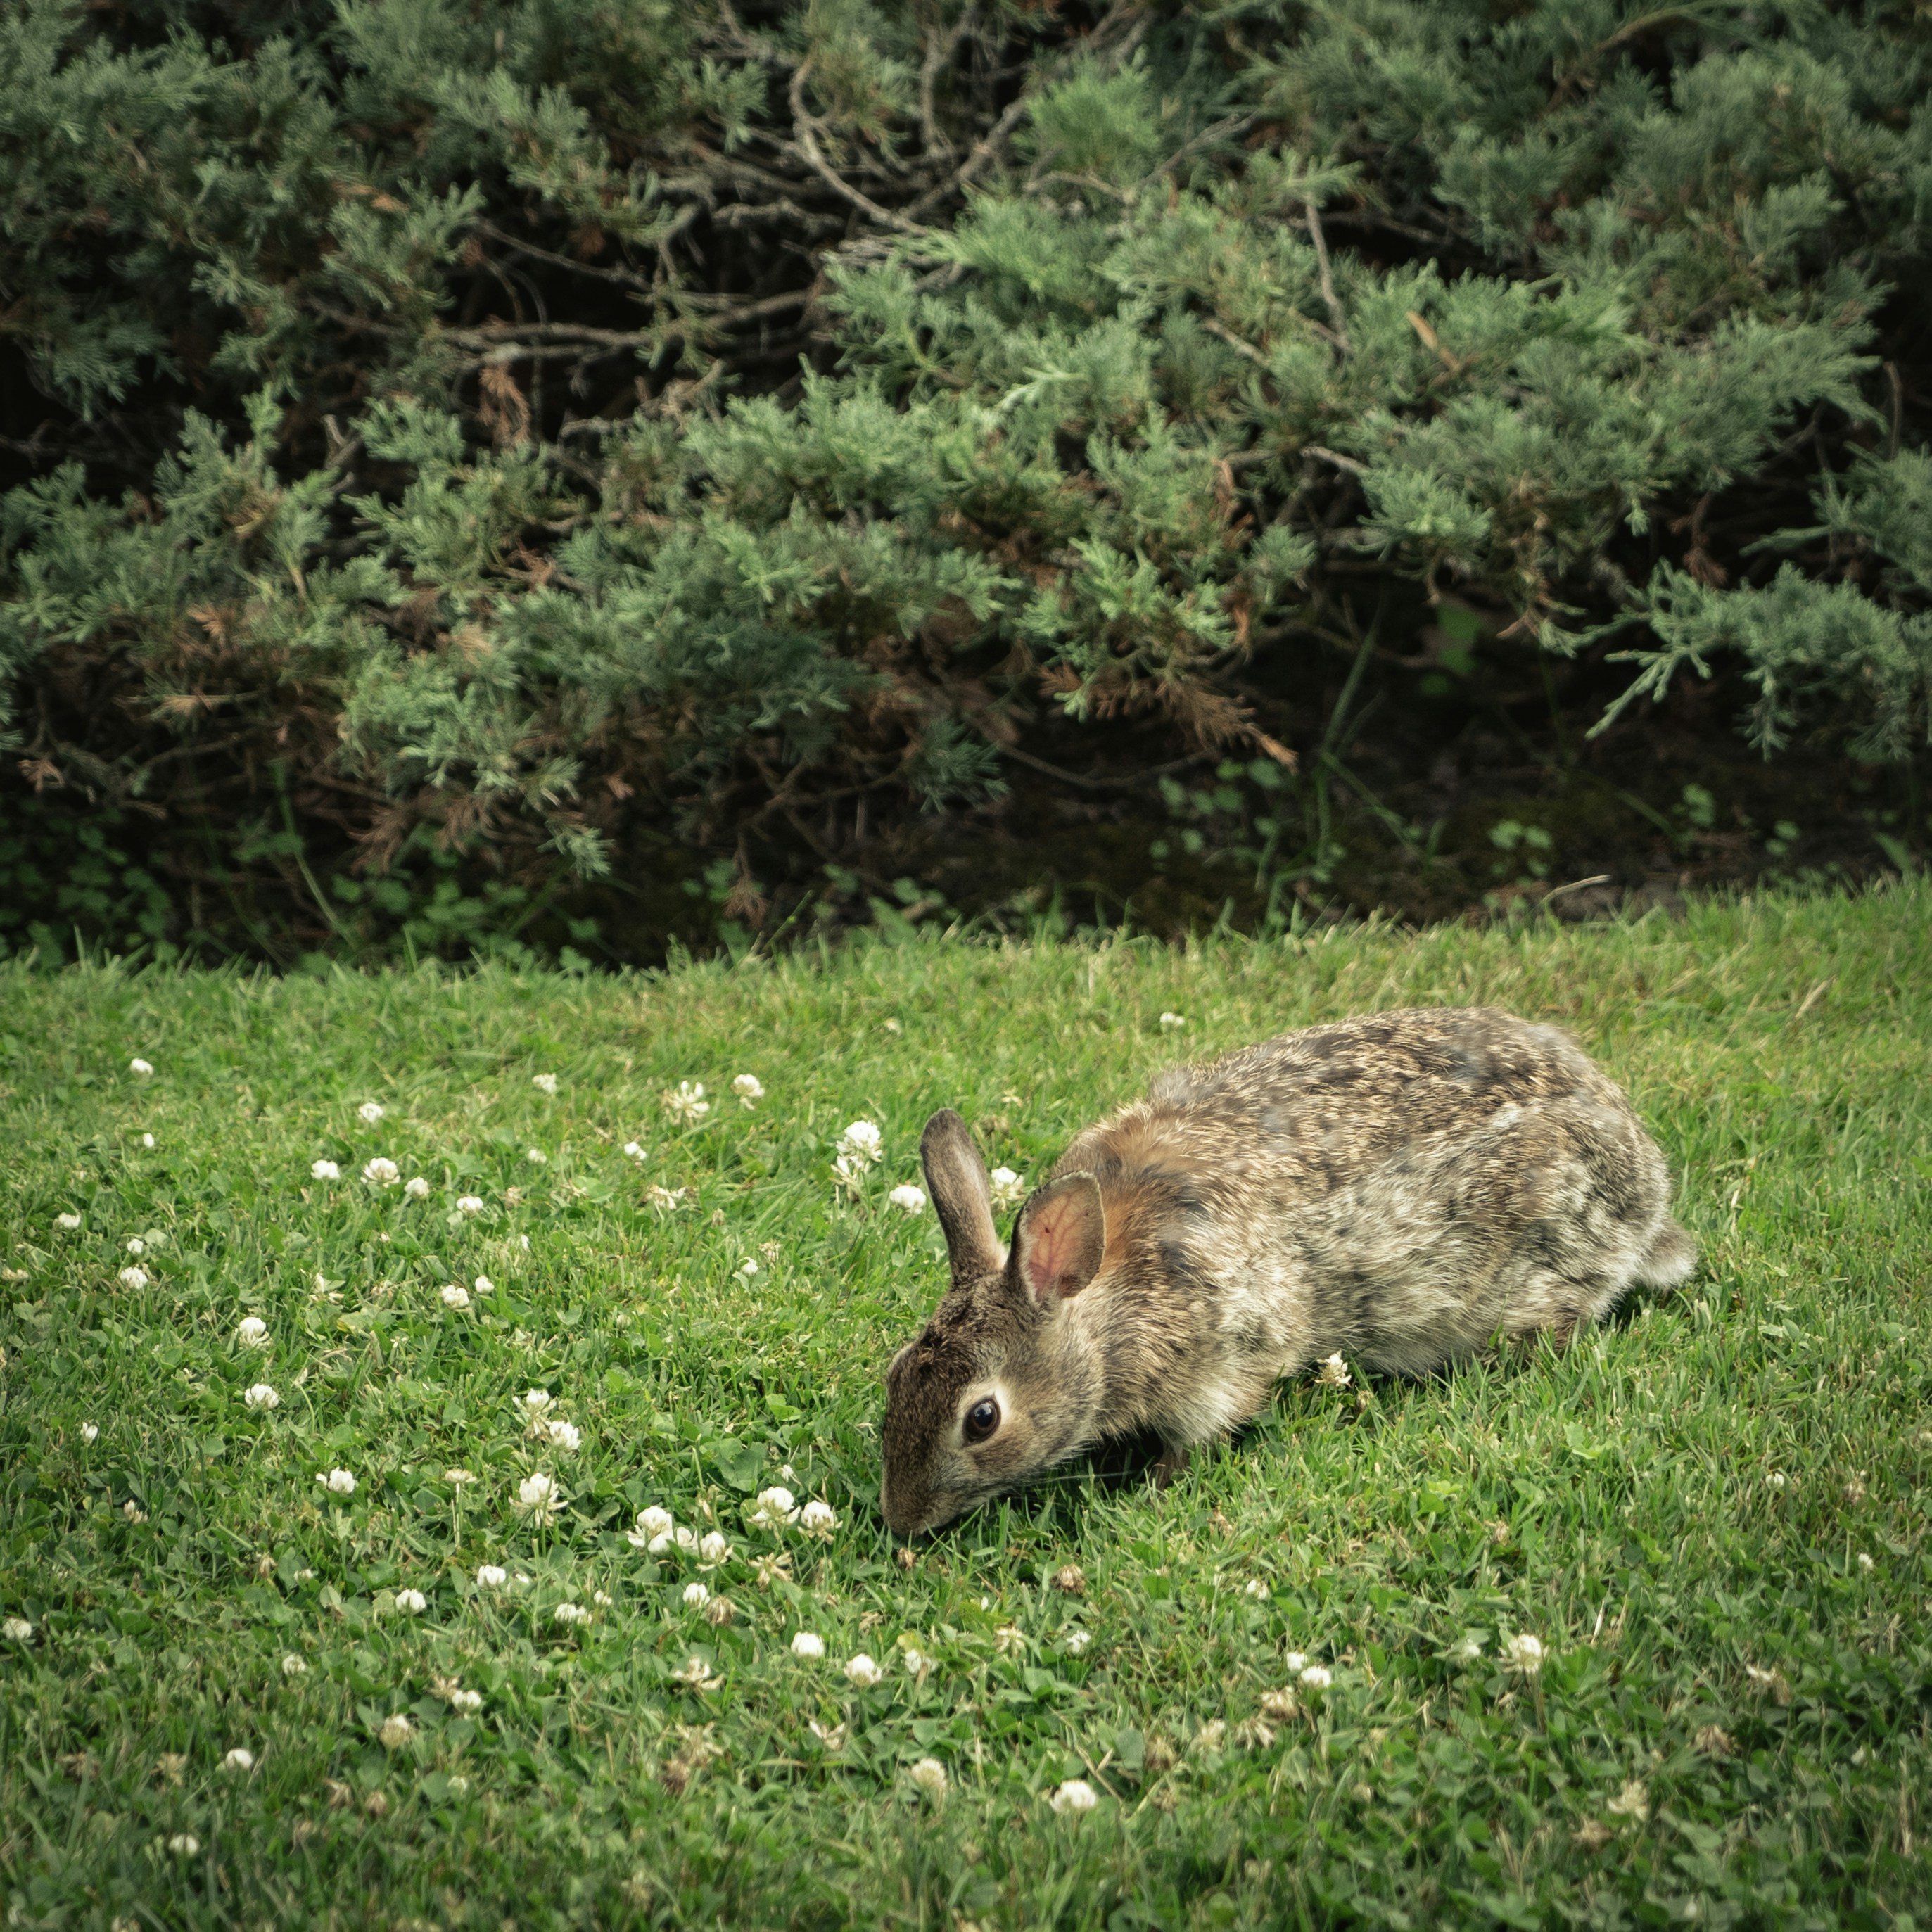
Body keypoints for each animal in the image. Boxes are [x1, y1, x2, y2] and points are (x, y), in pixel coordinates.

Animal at [880, 1006, 1694, 1535]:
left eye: (982, 1419)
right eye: (895, 1376)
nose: (902, 1520)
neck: (1105, 1303)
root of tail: (1646, 1191)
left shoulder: (1224, 1360)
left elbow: (1207, 1430)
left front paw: (1151, 1486)